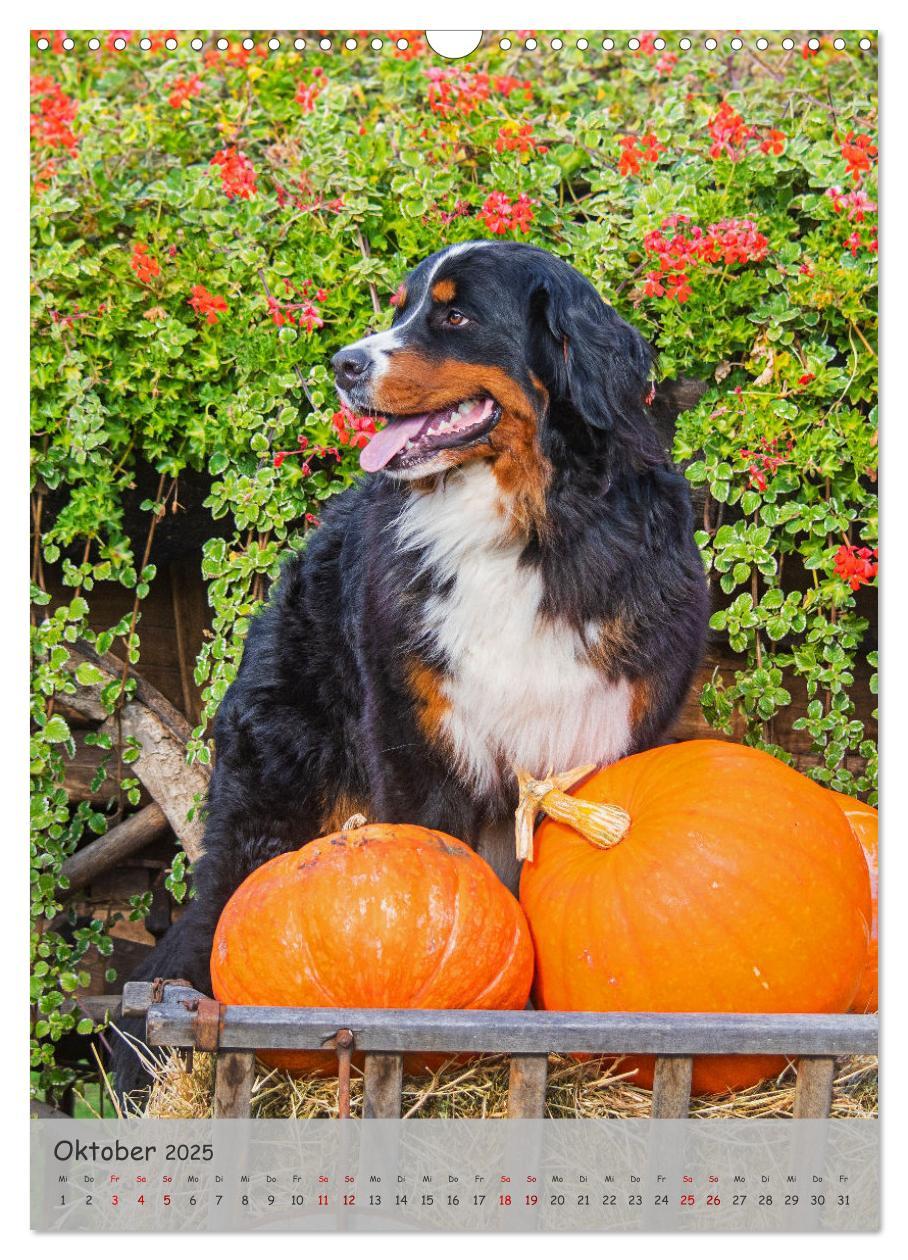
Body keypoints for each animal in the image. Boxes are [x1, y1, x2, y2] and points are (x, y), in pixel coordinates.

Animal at [113, 243, 710, 1093]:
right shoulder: (417, 739)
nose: (342, 363)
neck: (520, 530)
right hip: (280, 799)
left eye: (454, 316)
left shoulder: (614, 725)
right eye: (401, 308)